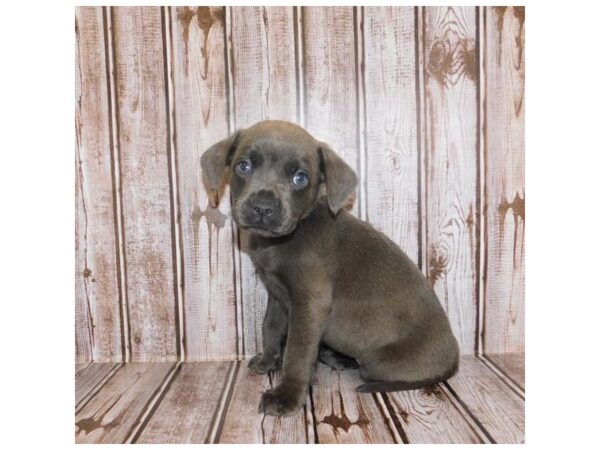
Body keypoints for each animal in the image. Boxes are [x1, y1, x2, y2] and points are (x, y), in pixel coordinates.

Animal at [202, 120, 460, 418]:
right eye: (243, 166)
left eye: (300, 178)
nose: (263, 208)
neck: (284, 240)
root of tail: (454, 358)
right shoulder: (277, 294)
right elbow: (270, 326)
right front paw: (268, 360)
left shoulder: (309, 302)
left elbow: (298, 351)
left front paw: (287, 396)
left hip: (377, 361)